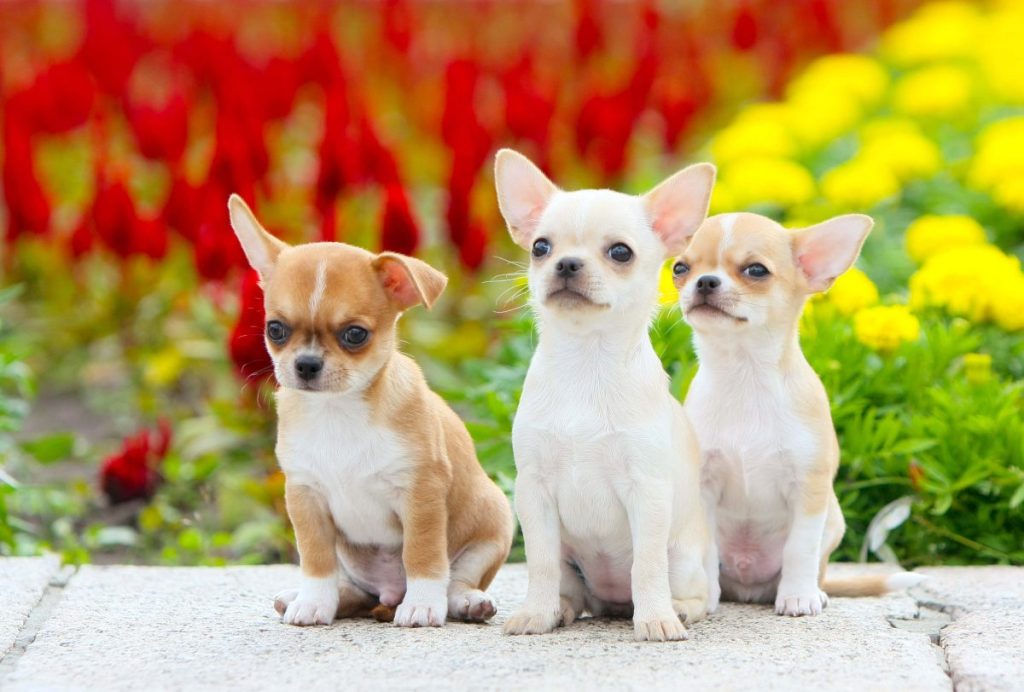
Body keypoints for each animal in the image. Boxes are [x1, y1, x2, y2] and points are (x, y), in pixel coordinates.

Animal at [226, 193, 509, 626]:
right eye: (276, 329)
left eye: (355, 335)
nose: (306, 364)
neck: (337, 412)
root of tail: (388, 594)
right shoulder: (305, 497)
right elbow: (316, 560)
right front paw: (313, 601)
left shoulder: (420, 494)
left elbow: (423, 554)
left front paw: (423, 604)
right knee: (352, 590)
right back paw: (307, 597)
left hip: (495, 523)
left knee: (457, 578)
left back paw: (464, 602)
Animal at [493, 148, 712, 638]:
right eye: (540, 247)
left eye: (620, 252)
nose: (567, 263)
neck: (586, 361)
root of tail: (611, 602)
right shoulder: (533, 492)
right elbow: (539, 564)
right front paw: (536, 613)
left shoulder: (647, 492)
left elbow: (646, 565)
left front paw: (655, 620)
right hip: (571, 561)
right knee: (571, 589)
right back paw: (560, 609)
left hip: (685, 557)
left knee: (693, 589)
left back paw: (679, 607)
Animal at [675, 211, 925, 618]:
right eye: (680, 268)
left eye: (756, 270)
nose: (705, 280)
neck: (744, 374)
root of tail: (748, 590)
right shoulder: (703, 487)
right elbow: (706, 547)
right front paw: (704, 598)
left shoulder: (809, 487)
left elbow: (800, 548)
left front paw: (797, 597)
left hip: (832, 520)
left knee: (815, 566)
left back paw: (813, 591)